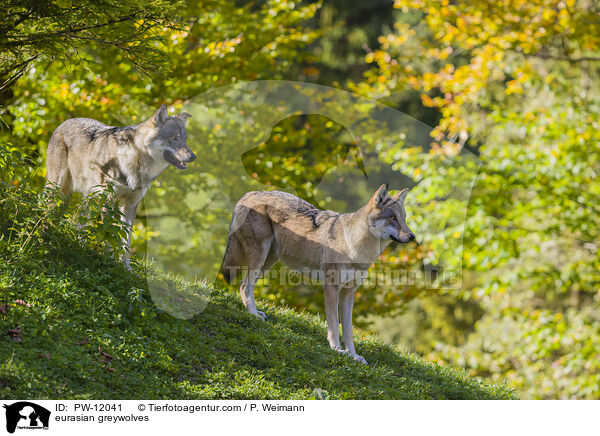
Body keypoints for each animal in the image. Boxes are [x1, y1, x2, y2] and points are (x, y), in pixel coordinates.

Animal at [44, 104, 195, 270]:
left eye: (185, 139)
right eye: (173, 138)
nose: (193, 156)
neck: (136, 161)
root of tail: (65, 122)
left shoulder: (130, 205)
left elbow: (126, 242)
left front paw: (126, 268)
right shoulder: (108, 201)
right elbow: (110, 235)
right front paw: (110, 261)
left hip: (88, 198)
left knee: (78, 220)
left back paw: (79, 247)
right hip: (57, 187)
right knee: (48, 208)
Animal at [223, 184, 414, 364]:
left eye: (403, 218)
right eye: (393, 218)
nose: (412, 237)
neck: (356, 248)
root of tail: (251, 193)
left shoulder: (349, 293)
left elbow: (348, 331)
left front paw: (354, 356)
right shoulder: (331, 288)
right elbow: (333, 326)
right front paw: (337, 350)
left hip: (268, 262)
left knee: (248, 286)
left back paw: (257, 312)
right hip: (260, 257)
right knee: (244, 286)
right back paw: (253, 315)